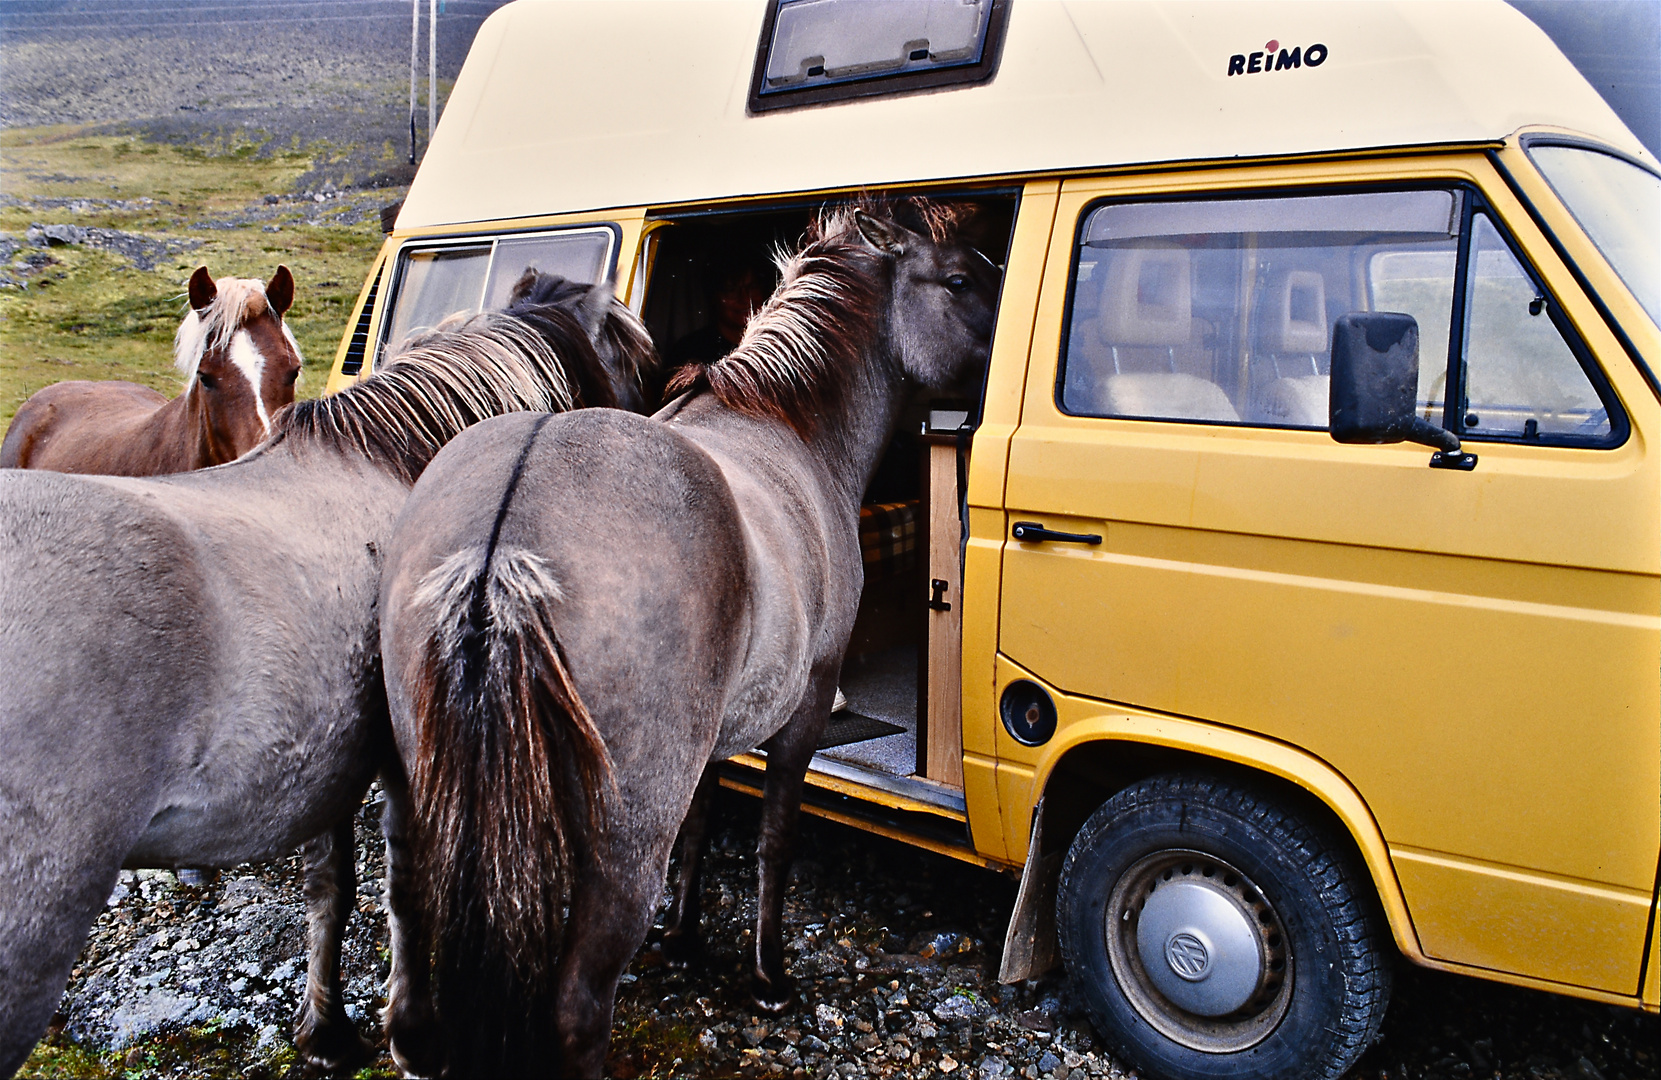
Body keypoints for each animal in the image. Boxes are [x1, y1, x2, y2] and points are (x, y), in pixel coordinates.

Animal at [377, 197, 996, 1070]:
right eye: (959, 279)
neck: (787, 424)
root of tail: (502, 536)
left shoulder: (710, 736)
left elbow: (704, 820)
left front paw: (685, 936)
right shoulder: (806, 709)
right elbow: (775, 836)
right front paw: (767, 976)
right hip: (623, 842)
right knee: (577, 1008)